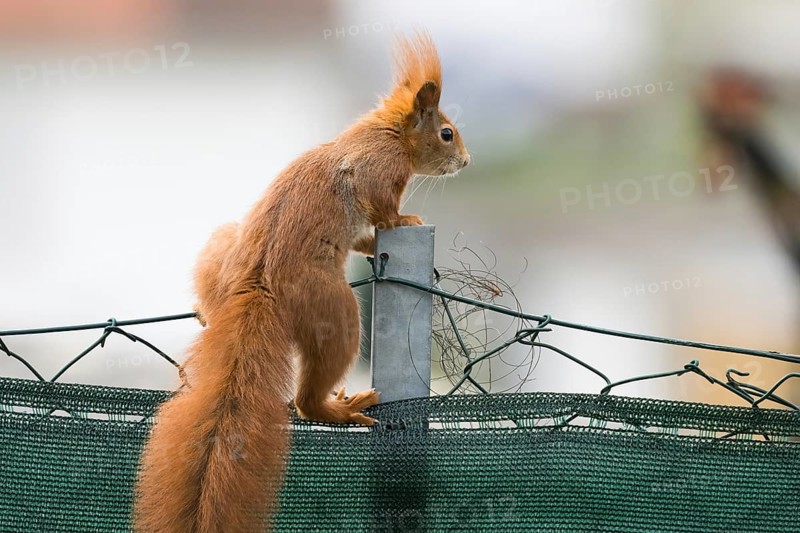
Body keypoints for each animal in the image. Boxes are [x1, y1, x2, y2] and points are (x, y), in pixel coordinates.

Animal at [132, 32, 469, 533]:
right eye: (446, 133)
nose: (466, 161)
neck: (386, 133)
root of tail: (258, 287)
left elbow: (367, 236)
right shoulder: (379, 171)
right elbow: (384, 212)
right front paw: (406, 219)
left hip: (224, 249)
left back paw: (206, 312)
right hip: (333, 310)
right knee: (306, 399)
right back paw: (340, 409)